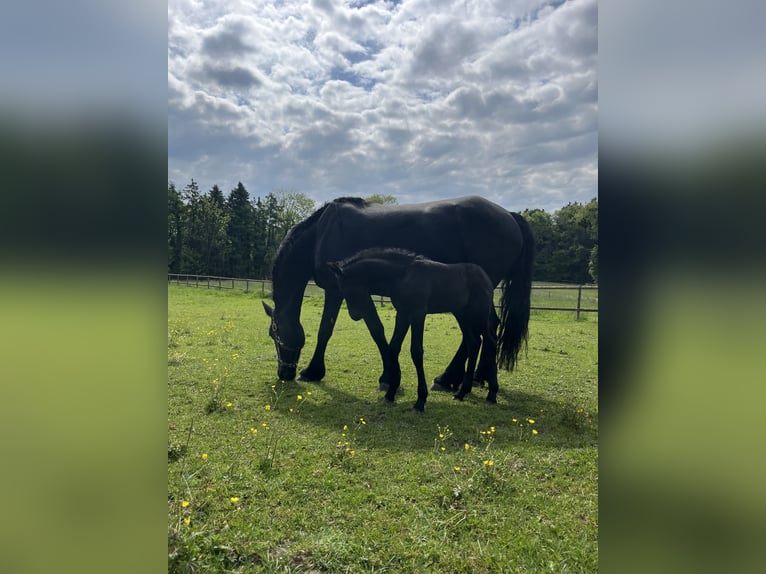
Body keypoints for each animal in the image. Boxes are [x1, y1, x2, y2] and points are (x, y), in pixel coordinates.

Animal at [262, 195, 534, 392]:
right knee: (486, 329)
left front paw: (314, 371)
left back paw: (449, 379)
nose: (284, 373)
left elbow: (340, 330)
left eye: (274, 332)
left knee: (478, 333)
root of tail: (510, 215)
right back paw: (476, 377)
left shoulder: (340, 290)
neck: (322, 233)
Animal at [328, 248, 500, 412]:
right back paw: (462, 392)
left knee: (490, 341)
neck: (403, 276)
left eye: (345, 289)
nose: (355, 315)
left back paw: (492, 394)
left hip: (479, 314)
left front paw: (420, 401)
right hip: (462, 315)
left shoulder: (417, 314)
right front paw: (390, 393)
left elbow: (416, 351)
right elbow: (394, 347)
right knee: (473, 343)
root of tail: (485, 277)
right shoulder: (402, 314)